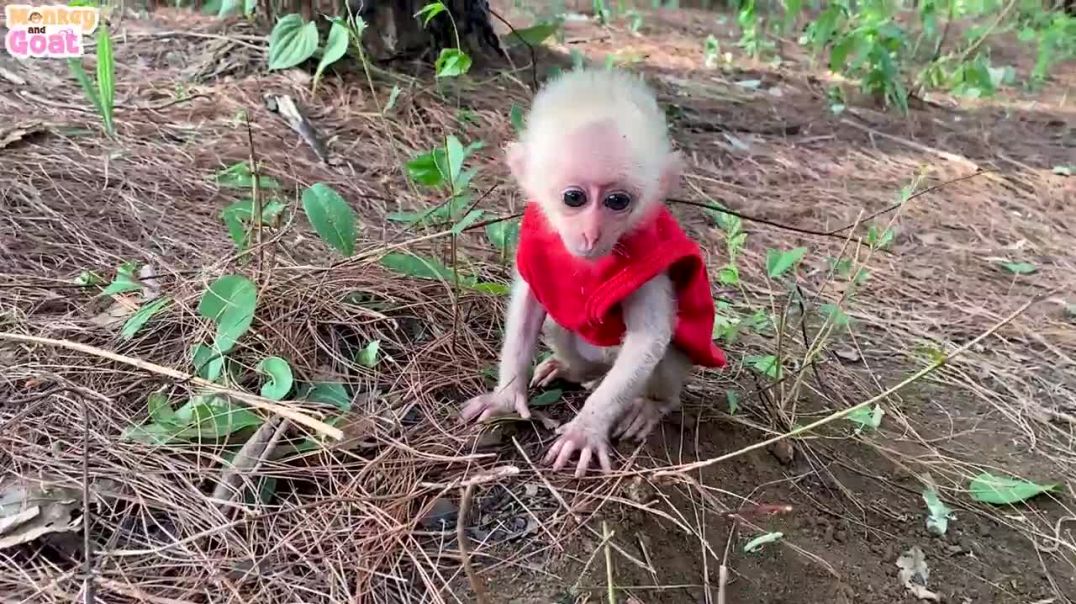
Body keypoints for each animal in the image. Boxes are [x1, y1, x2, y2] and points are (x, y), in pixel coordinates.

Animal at [460, 68, 727, 477]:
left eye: (617, 201)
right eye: (574, 198)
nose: (591, 233)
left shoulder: (650, 265)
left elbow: (650, 337)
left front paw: (586, 429)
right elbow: (527, 310)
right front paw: (506, 396)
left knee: (663, 356)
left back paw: (652, 404)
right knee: (562, 328)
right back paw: (570, 371)